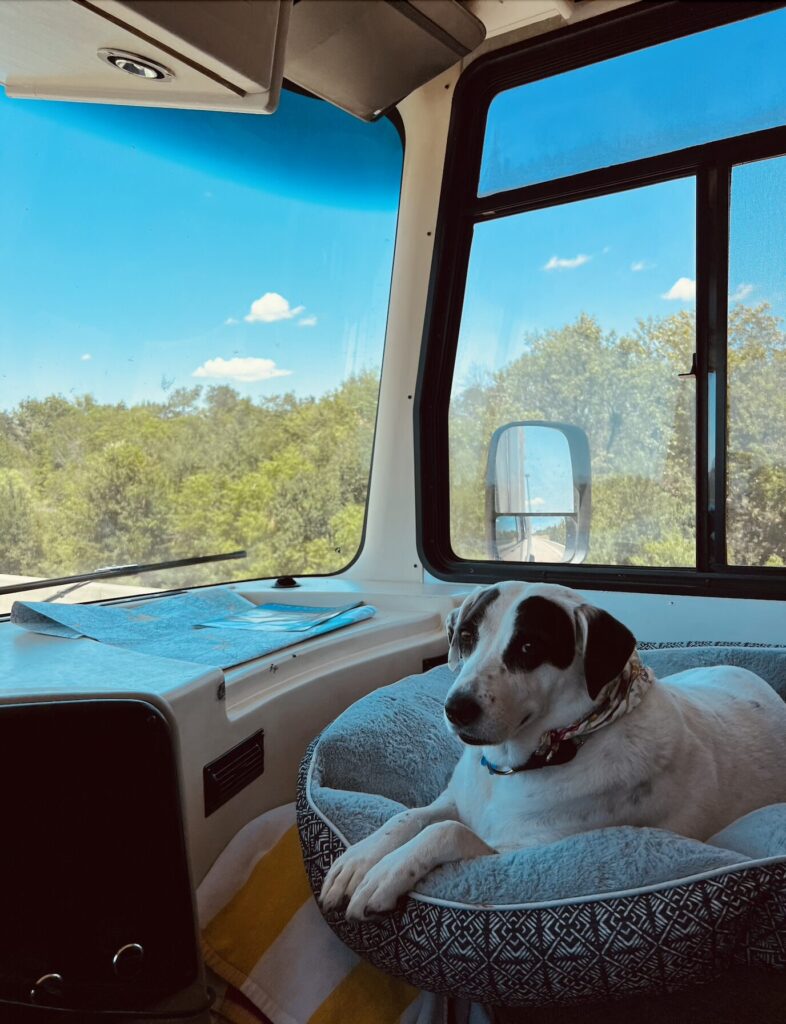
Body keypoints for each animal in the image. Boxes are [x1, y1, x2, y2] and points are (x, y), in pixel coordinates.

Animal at [317, 581, 786, 925]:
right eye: (467, 636)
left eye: (528, 647)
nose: (456, 707)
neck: (515, 766)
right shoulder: (454, 799)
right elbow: (408, 817)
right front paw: (359, 859)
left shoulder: (519, 852)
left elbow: (445, 832)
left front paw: (385, 873)